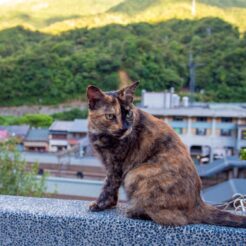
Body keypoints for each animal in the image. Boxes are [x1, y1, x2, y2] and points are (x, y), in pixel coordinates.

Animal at [87, 81, 246, 228]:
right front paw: (110, 205)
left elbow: (108, 186)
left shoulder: (115, 165)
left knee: (176, 219)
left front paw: (100, 205)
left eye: (129, 114)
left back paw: (135, 212)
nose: (125, 128)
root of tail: (198, 204)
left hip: (135, 174)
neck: (101, 134)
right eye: (110, 116)